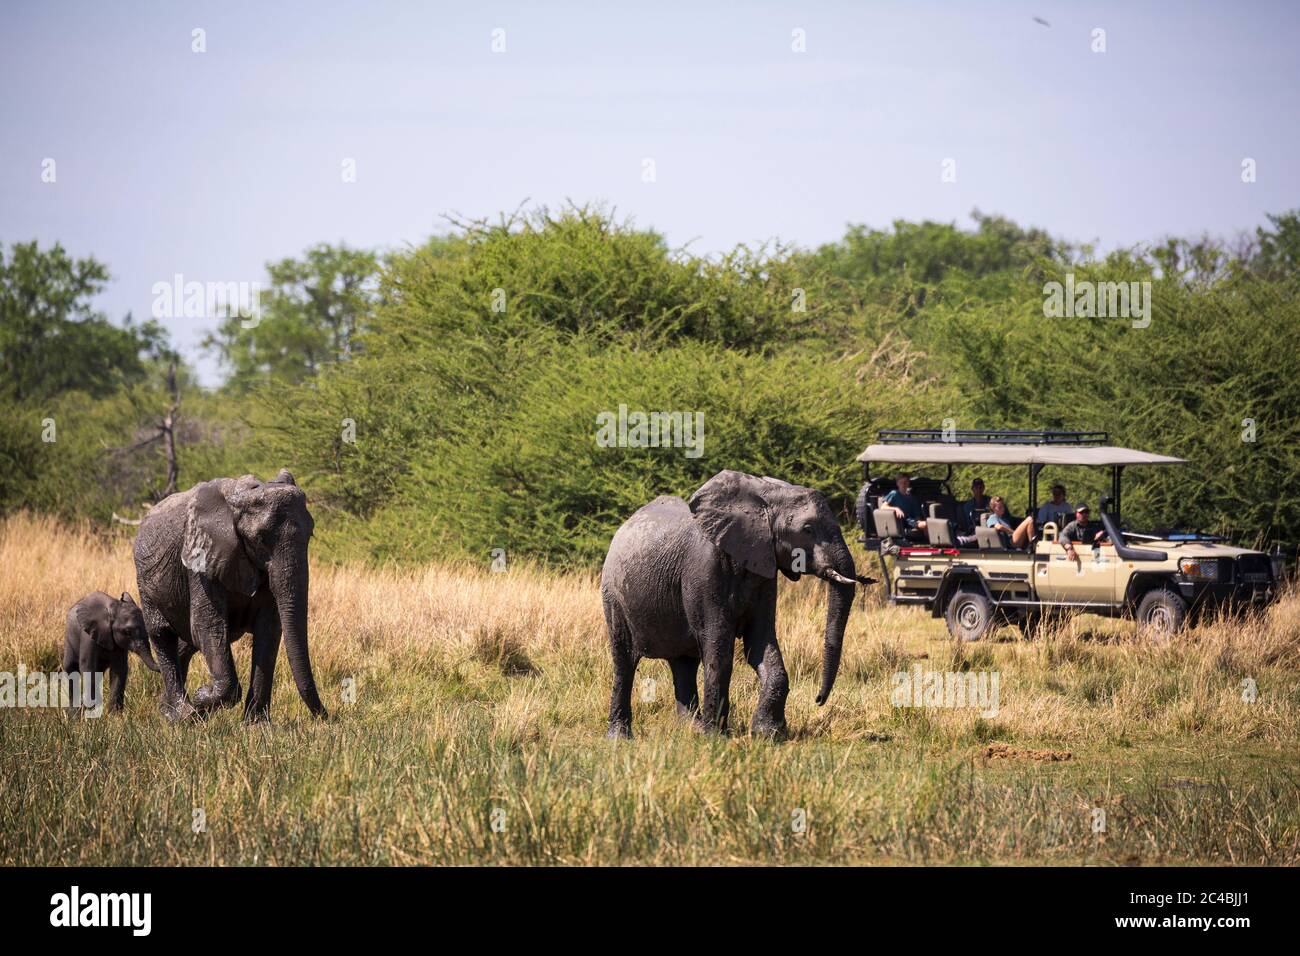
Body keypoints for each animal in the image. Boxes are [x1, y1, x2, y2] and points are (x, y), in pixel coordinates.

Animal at [131, 470, 327, 723]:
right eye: (260, 539)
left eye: (310, 533)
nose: (327, 717)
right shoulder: (201, 559)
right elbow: (208, 625)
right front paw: (201, 697)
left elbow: (268, 629)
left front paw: (255, 725)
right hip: (144, 579)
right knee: (162, 634)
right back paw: (181, 715)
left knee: (187, 642)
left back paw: (171, 710)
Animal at [600, 470, 868, 738]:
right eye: (807, 529)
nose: (818, 699)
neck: (762, 497)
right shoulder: (704, 570)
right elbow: (719, 649)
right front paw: (715, 736)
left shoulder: (764, 570)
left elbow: (759, 642)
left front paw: (768, 733)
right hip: (613, 594)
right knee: (624, 661)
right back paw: (621, 737)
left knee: (683, 663)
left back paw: (691, 730)